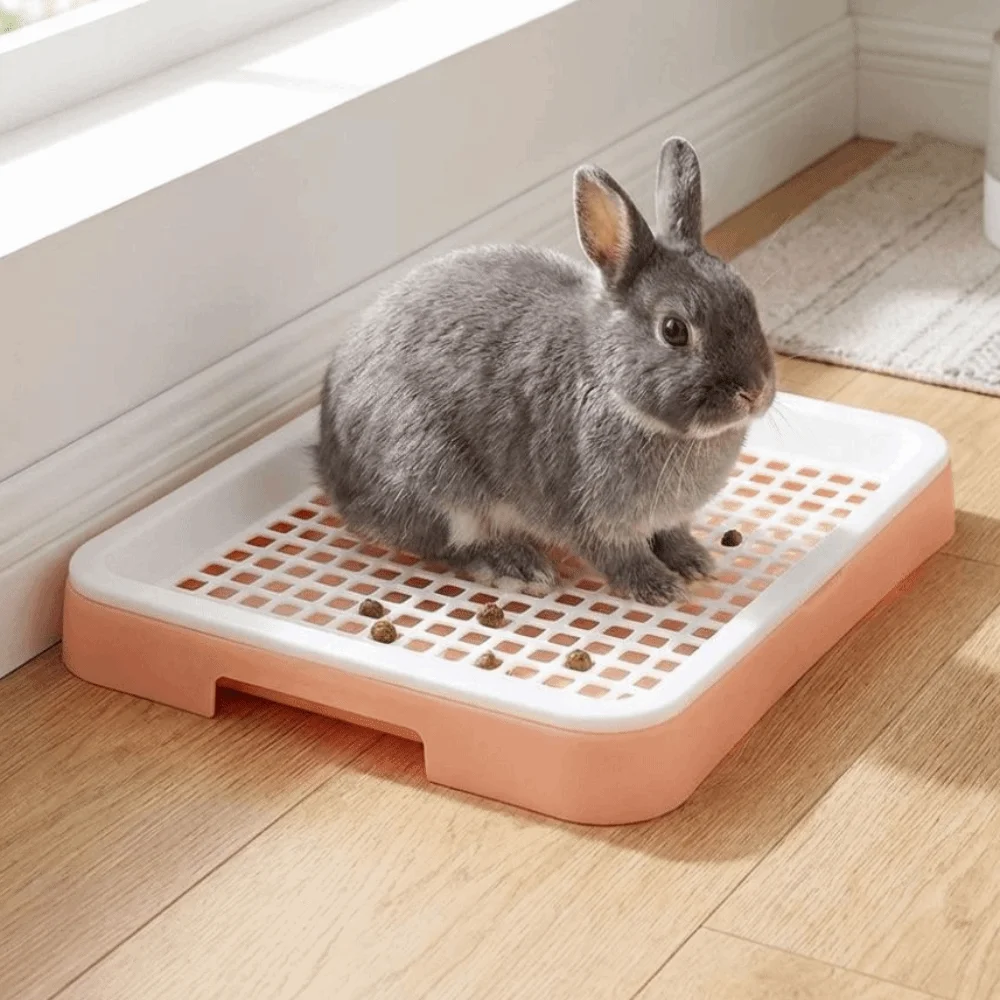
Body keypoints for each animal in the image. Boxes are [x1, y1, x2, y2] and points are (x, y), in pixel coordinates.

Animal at [316, 137, 775, 604]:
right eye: (674, 330)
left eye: (747, 299)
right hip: (434, 480)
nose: (754, 392)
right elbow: (618, 555)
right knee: (448, 545)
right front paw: (657, 587)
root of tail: (333, 474)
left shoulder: (667, 517)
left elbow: (672, 533)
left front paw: (694, 562)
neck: (612, 387)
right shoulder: (587, 512)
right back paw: (517, 565)